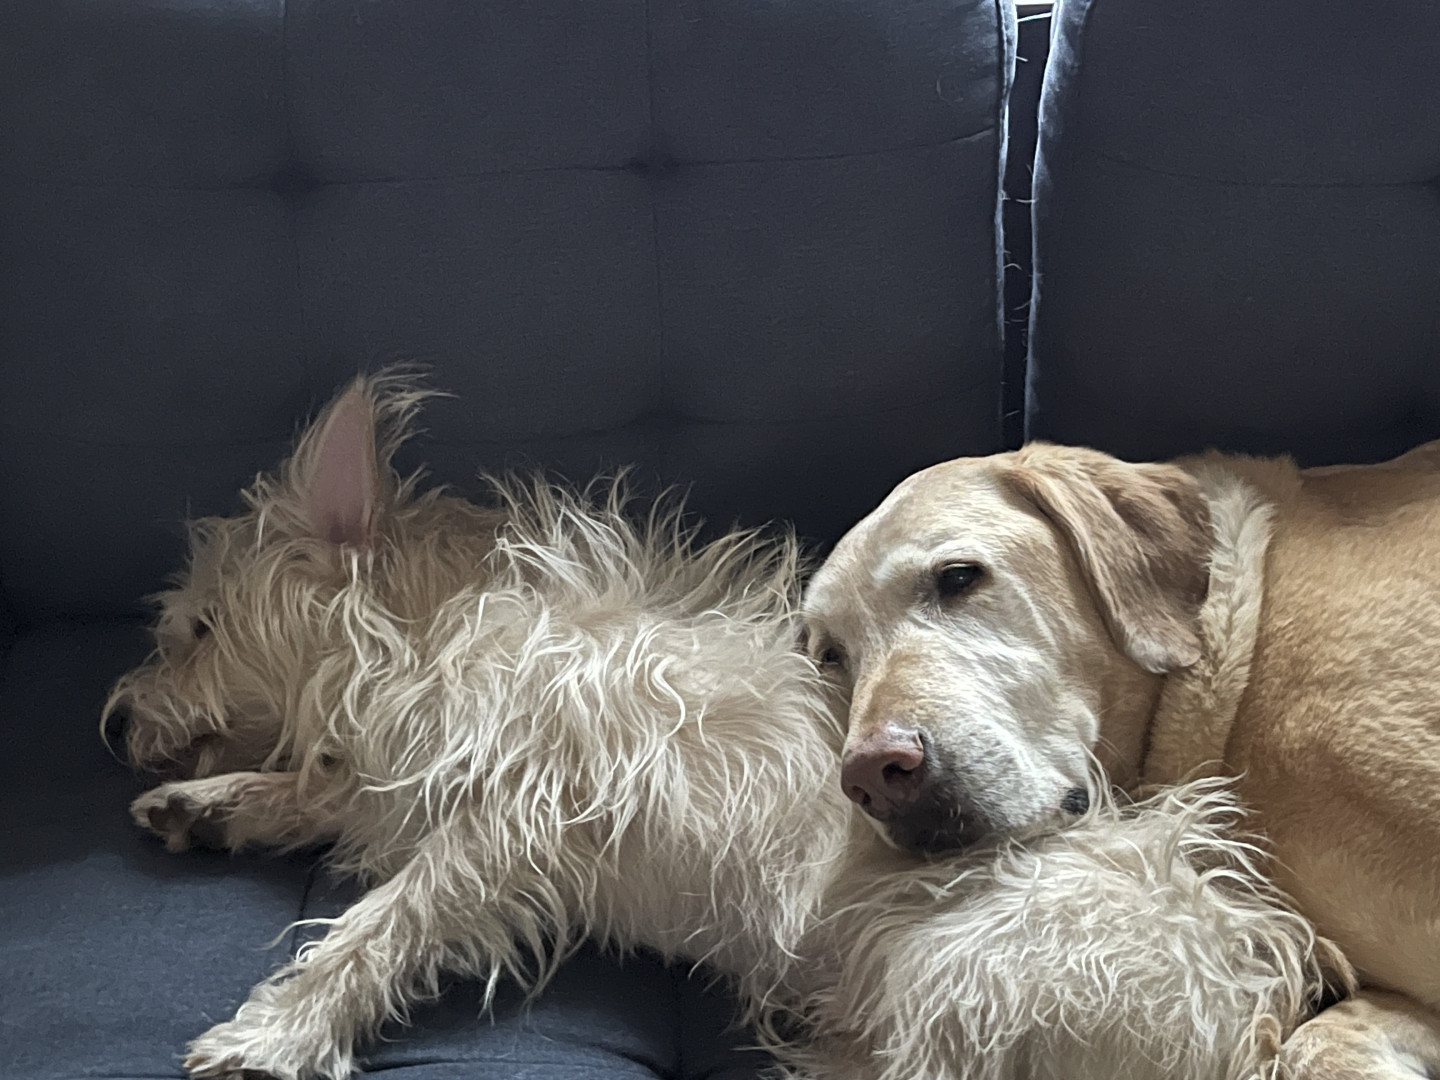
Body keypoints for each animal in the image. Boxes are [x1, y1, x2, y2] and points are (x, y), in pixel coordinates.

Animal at [110, 379, 1327, 1080]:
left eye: (197, 627)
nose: (114, 719)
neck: (420, 639)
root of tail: (1250, 1020)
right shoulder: (408, 781)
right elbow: (324, 789)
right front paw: (212, 805)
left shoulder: (510, 824)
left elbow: (378, 925)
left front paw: (276, 1030)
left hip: (959, 982)